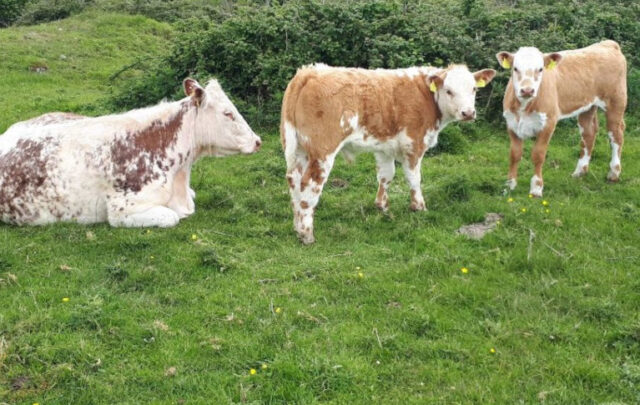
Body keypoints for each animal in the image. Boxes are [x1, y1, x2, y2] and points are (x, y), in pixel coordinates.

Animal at [280, 63, 496, 244]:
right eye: (449, 90)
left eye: (474, 89)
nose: (468, 113)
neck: (427, 97)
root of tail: (309, 72)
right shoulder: (414, 143)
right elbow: (414, 178)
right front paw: (419, 207)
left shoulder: (384, 147)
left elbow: (386, 175)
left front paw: (382, 206)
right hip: (323, 151)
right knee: (310, 185)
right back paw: (306, 234)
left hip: (298, 149)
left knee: (294, 180)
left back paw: (296, 226)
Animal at [496, 40, 627, 197]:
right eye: (515, 68)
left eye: (540, 69)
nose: (527, 90)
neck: (524, 107)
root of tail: (607, 43)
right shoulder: (511, 123)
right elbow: (514, 155)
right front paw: (509, 185)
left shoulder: (548, 123)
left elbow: (538, 155)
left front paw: (536, 188)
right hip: (587, 106)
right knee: (589, 133)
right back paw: (580, 172)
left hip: (616, 102)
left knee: (616, 135)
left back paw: (614, 173)